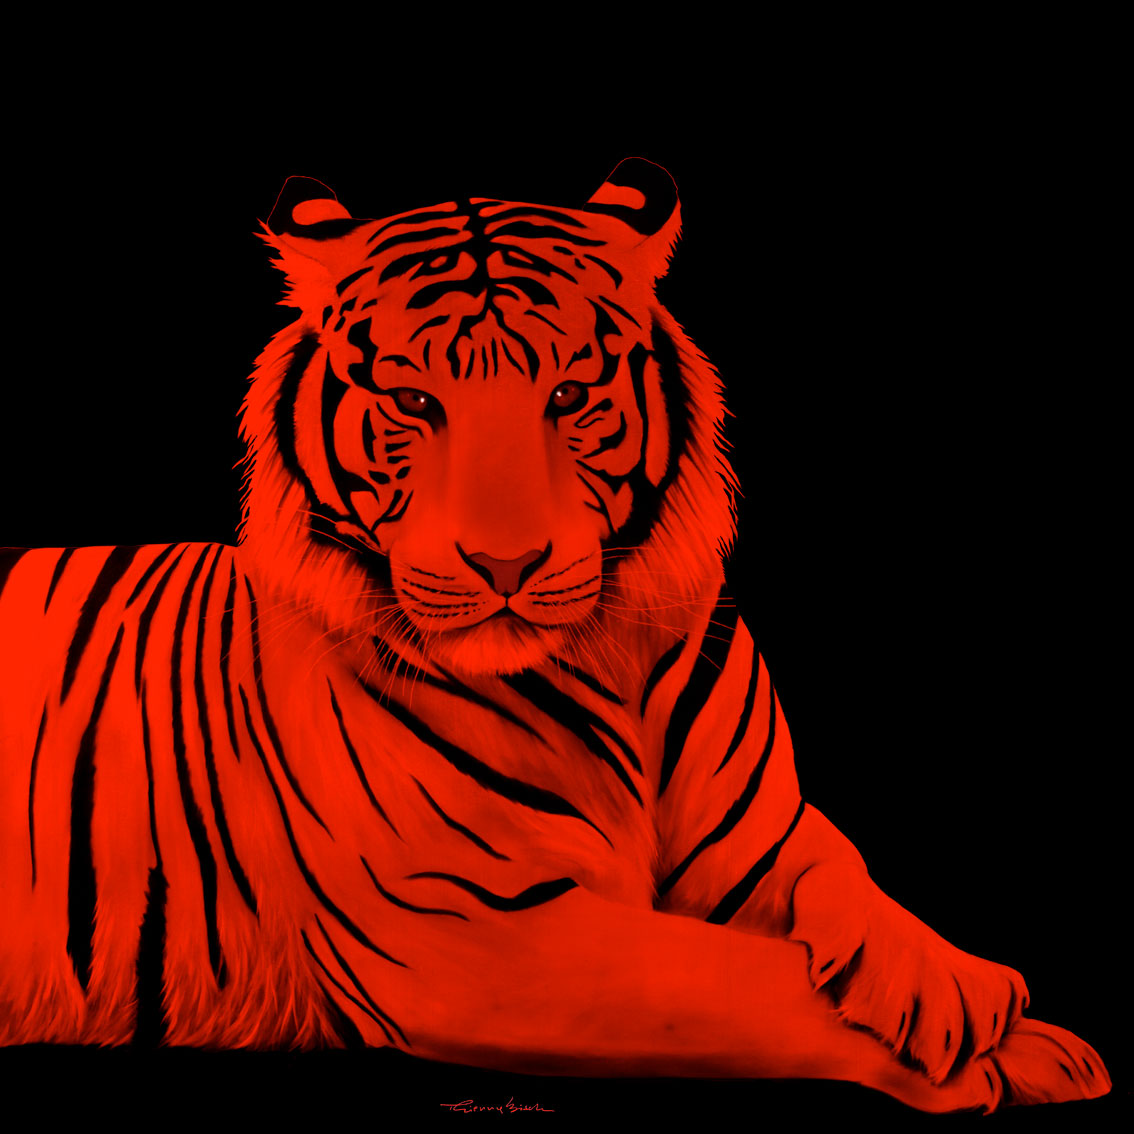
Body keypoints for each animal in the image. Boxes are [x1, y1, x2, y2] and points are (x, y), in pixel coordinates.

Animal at [0, 159, 1111, 1113]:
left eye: (570, 395)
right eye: (414, 400)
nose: (506, 566)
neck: (611, 660)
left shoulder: (758, 837)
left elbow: (845, 871)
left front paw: (963, 990)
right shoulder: (467, 932)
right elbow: (748, 978)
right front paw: (984, 1056)